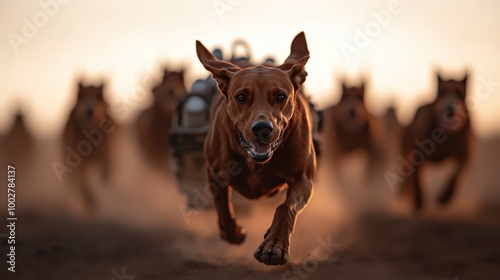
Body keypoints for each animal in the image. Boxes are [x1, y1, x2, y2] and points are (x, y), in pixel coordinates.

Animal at [196, 32, 316, 264]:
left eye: (280, 96)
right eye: (241, 96)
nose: (262, 128)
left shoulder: (303, 178)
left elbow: (285, 207)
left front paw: (274, 244)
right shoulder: (214, 171)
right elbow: (223, 207)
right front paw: (233, 232)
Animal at [400, 72, 470, 210]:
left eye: (459, 93)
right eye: (442, 93)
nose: (450, 109)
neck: (446, 135)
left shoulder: (464, 155)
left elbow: (456, 174)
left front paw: (445, 197)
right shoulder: (416, 154)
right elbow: (416, 180)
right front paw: (418, 200)